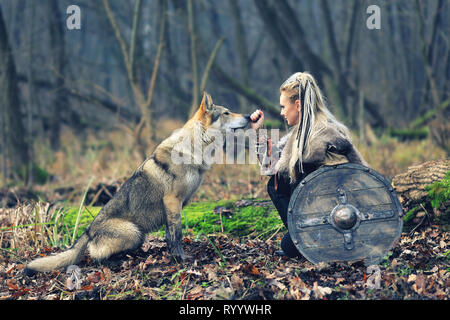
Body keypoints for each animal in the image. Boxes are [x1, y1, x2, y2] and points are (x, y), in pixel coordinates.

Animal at [25, 91, 250, 274]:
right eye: (227, 113)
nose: (249, 116)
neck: (195, 148)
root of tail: (88, 231)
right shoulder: (172, 201)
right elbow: (177, 235)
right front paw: (181, 258)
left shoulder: (172, 207)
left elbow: (169, 236)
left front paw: (173, 255)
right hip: (134, 232)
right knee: (96, 257)